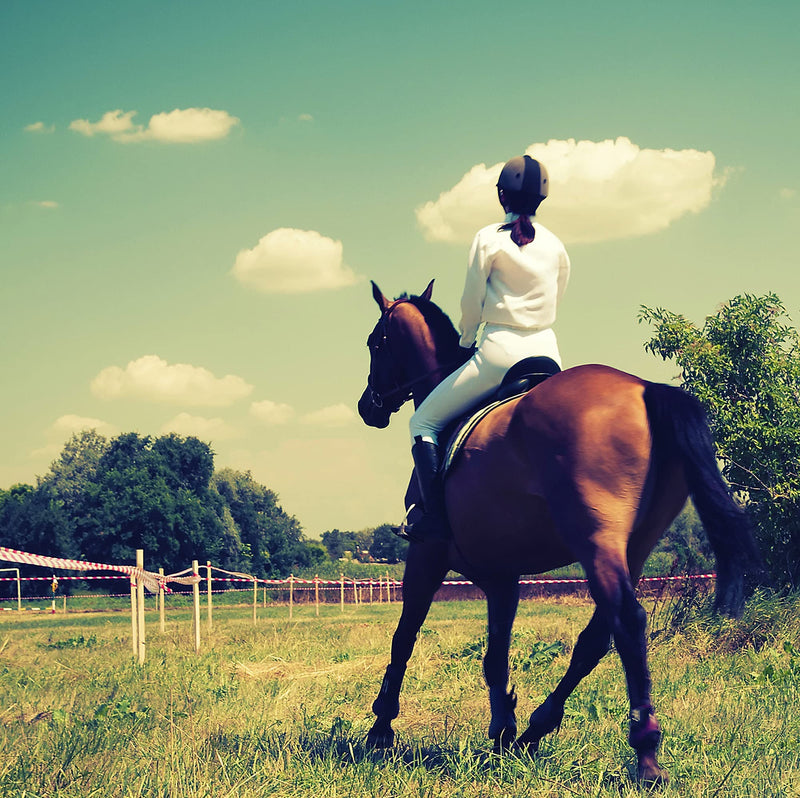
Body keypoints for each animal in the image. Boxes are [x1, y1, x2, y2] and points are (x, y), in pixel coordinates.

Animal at [356, 280, 760, 786]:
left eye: (374, 343)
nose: (366, 407)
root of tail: (646, 390)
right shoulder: (502, 576)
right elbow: (495, 656)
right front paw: (502, 732)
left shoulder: (426, 555)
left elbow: (404, 637)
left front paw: (381, 728)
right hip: (635, 546)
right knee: (596, 639)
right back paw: (535, 731)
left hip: (596, 541)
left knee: (627, 620)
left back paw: (645, 754)